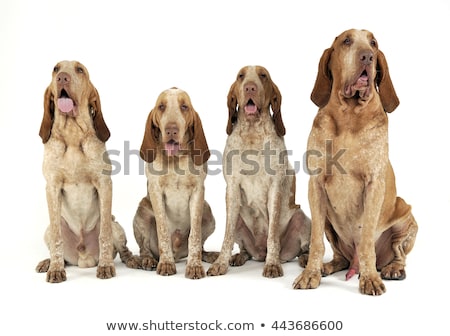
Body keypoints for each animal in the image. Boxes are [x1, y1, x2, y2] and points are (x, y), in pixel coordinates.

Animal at [207, 65, 310, 278]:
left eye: (263, 76)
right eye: (241, 76)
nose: (250, 88)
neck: (252, 131)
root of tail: (259, 252)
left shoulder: (275, 189)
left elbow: (272, 235)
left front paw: (272, 264)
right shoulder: (232, 189)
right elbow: (227, 236)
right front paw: (220, 263)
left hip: (302, 219)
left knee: (304, 249)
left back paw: (303, 258)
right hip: (238, 219)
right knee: (245, 249)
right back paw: (239, 256)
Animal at [292, 30, 418, 296]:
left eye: (374, 43)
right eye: (347, 41)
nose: (367, 56)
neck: (349, 114)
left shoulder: (373, 186)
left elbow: (368, 240)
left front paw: (370, 279)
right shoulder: (315, 186)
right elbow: (316, 242)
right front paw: (310, 273)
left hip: (406, 217)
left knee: (398, 253)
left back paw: (393, 269)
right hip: (328, 222)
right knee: (340, 257)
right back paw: (326, 266)